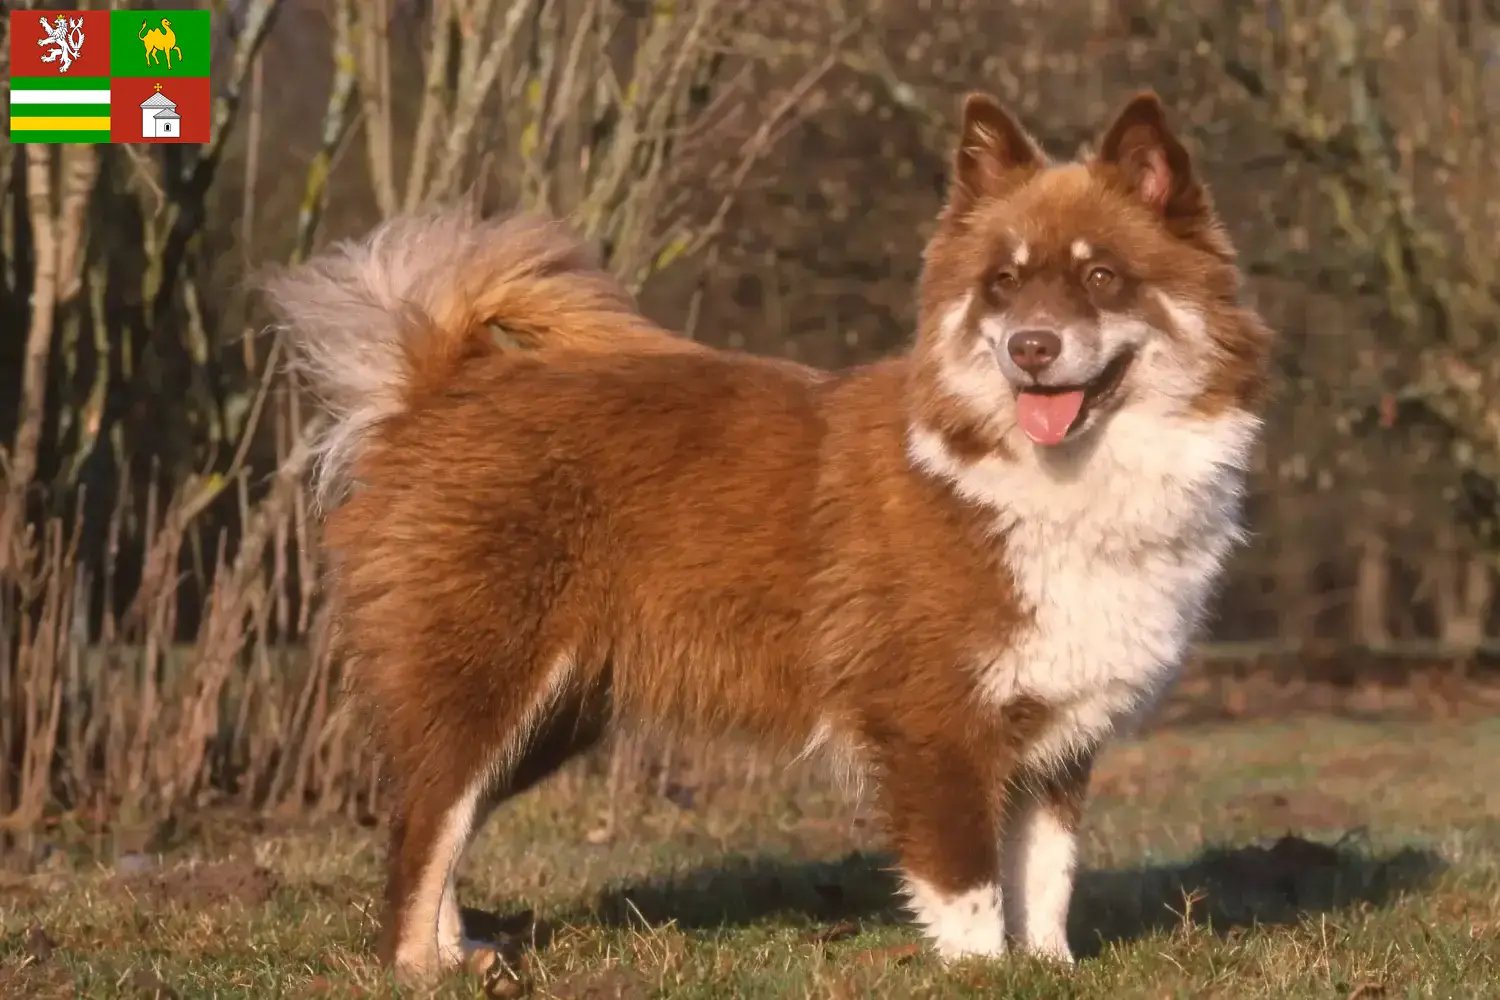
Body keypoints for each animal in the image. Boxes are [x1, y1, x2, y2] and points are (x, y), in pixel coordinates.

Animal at [264, 89, 1272, 983]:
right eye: (1005, 284)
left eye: (1102, 276)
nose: (1030, 347)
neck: (1040, 481)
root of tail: (440, 384)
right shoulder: (933, 726)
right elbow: (972, 889)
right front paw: (985, 976)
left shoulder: (1056, 735)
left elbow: (1046, 879)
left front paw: (1051, 970)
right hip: (482, 677)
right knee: (420, 828)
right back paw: (415, 968)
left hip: (549, 713)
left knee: (448, 818)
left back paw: (459, 954)